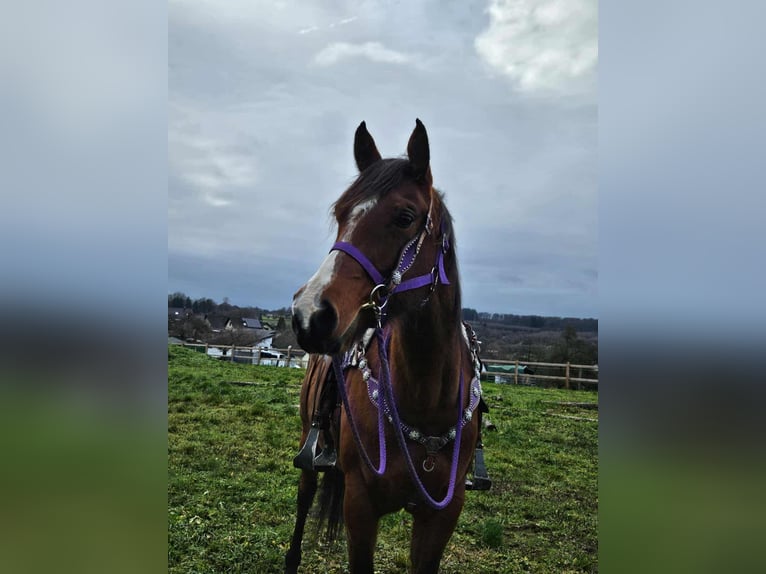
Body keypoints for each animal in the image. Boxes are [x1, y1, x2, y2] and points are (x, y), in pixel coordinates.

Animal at [285, 119, 489, 574]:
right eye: (340, 214)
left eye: (405, 217)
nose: (309, 314)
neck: (425, 399)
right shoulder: (361, 505)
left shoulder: (442, 514)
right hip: (309, 441)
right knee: (304, 500)